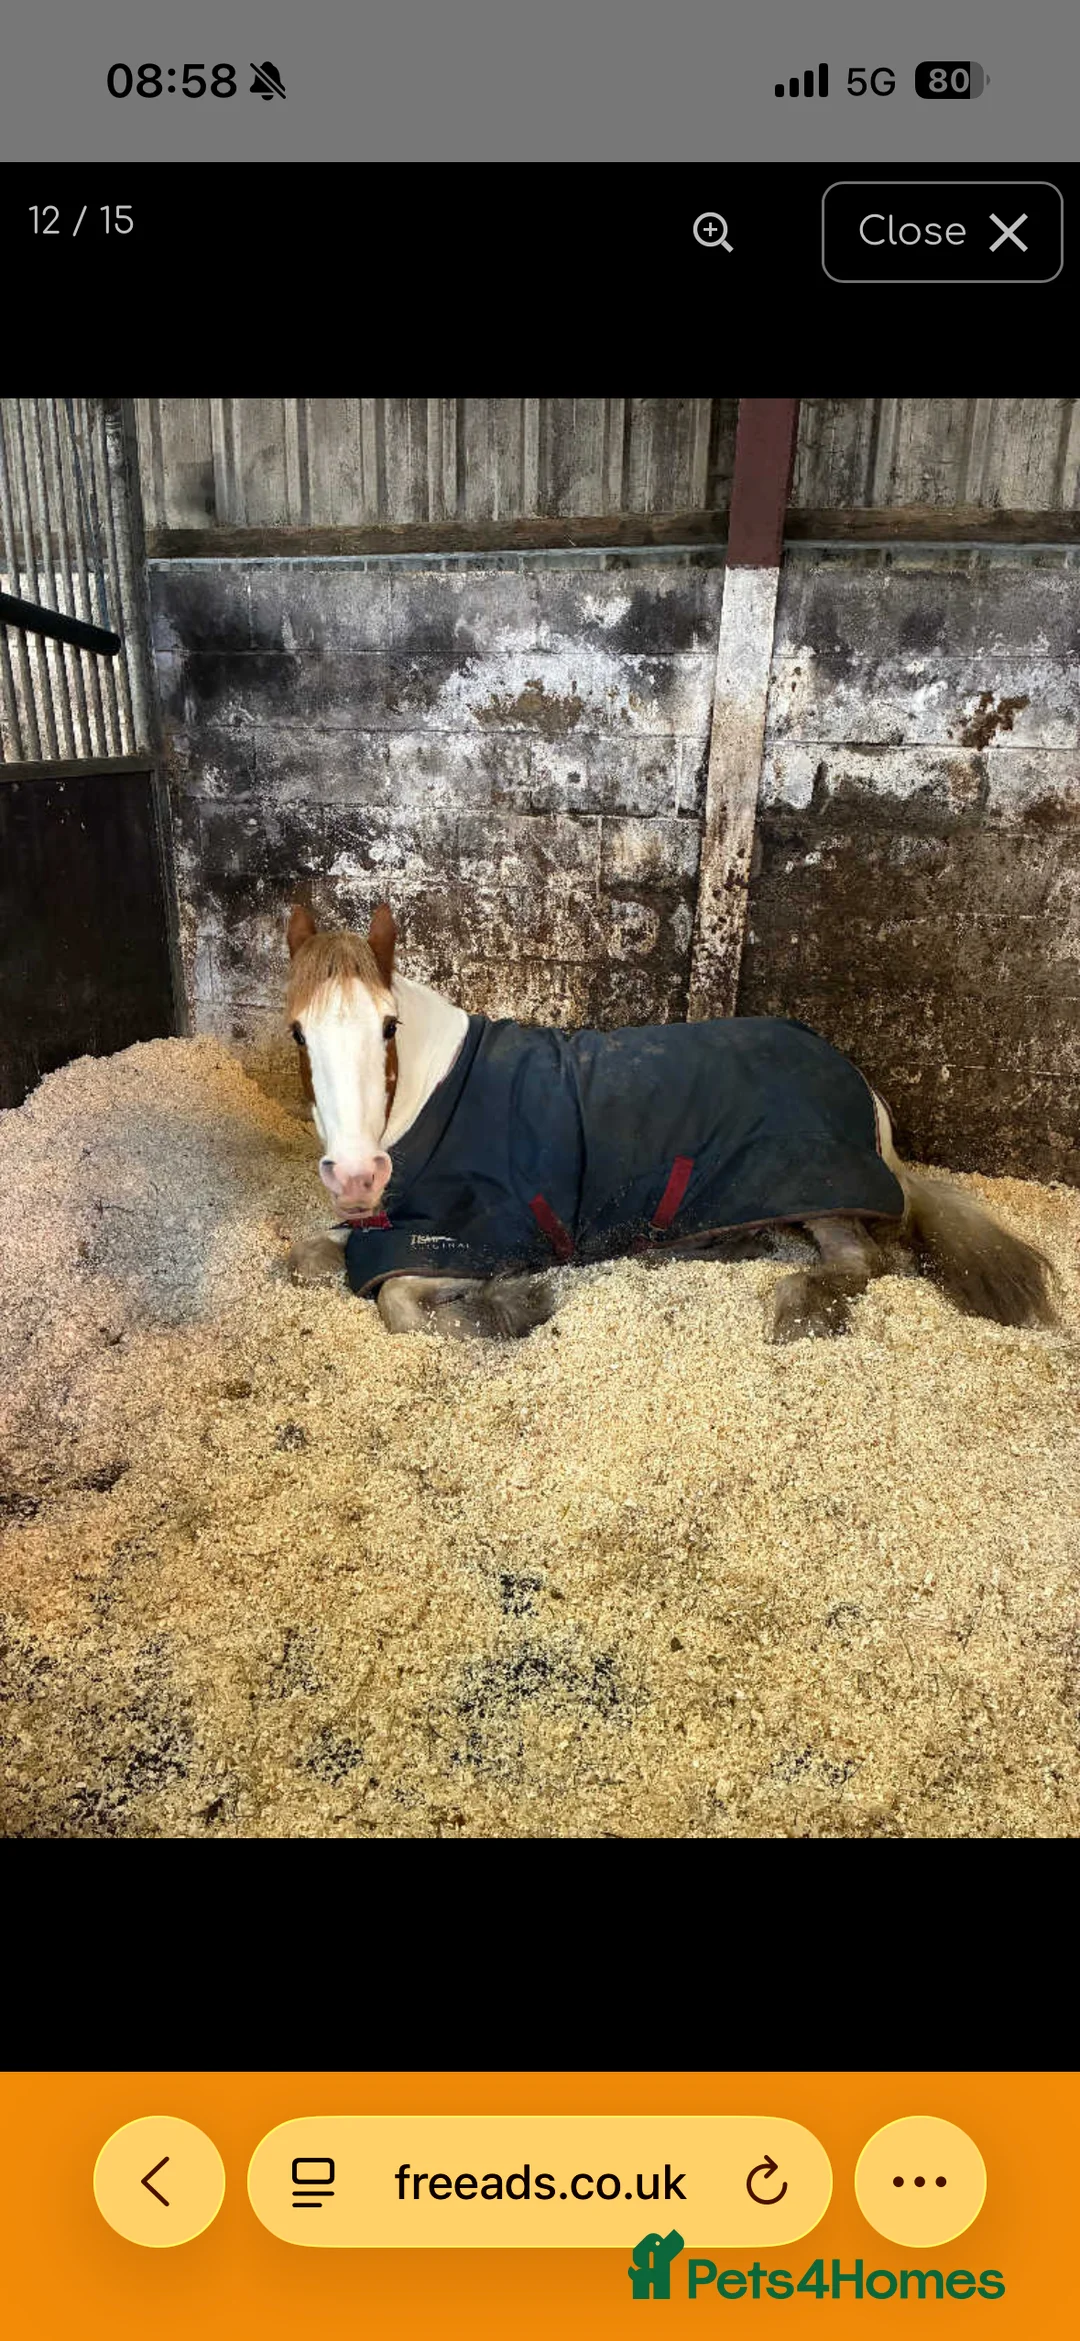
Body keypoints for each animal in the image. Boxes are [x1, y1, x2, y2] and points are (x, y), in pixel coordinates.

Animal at [282, 901, 1054, 1345]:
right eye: (297, 1032)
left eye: (388, 1027)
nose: (355, 1175)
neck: (435, 1095)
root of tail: (864, 1089)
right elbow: (307, 1256)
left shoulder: (479, 1237)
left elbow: (400, 1303)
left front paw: (513, 1305)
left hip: (815, 1185)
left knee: (864, 1261)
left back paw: (801, 1307)